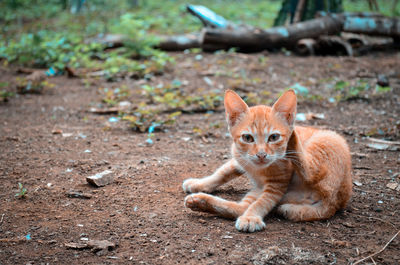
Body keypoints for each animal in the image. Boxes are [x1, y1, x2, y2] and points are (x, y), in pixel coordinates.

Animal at [183, 88, 352, 231]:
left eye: (274, 137)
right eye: (247, 138)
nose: (261, 154)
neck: (258, 169)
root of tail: (335, 202)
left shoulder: (277, 185)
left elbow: (262, 202)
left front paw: (251, 218)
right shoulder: (240, 159)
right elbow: (223, 172)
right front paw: (199, 184)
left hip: (327, 139)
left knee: (310, 171)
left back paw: (293, 134)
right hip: (259, 190)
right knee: (240, 208)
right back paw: (199, 202)